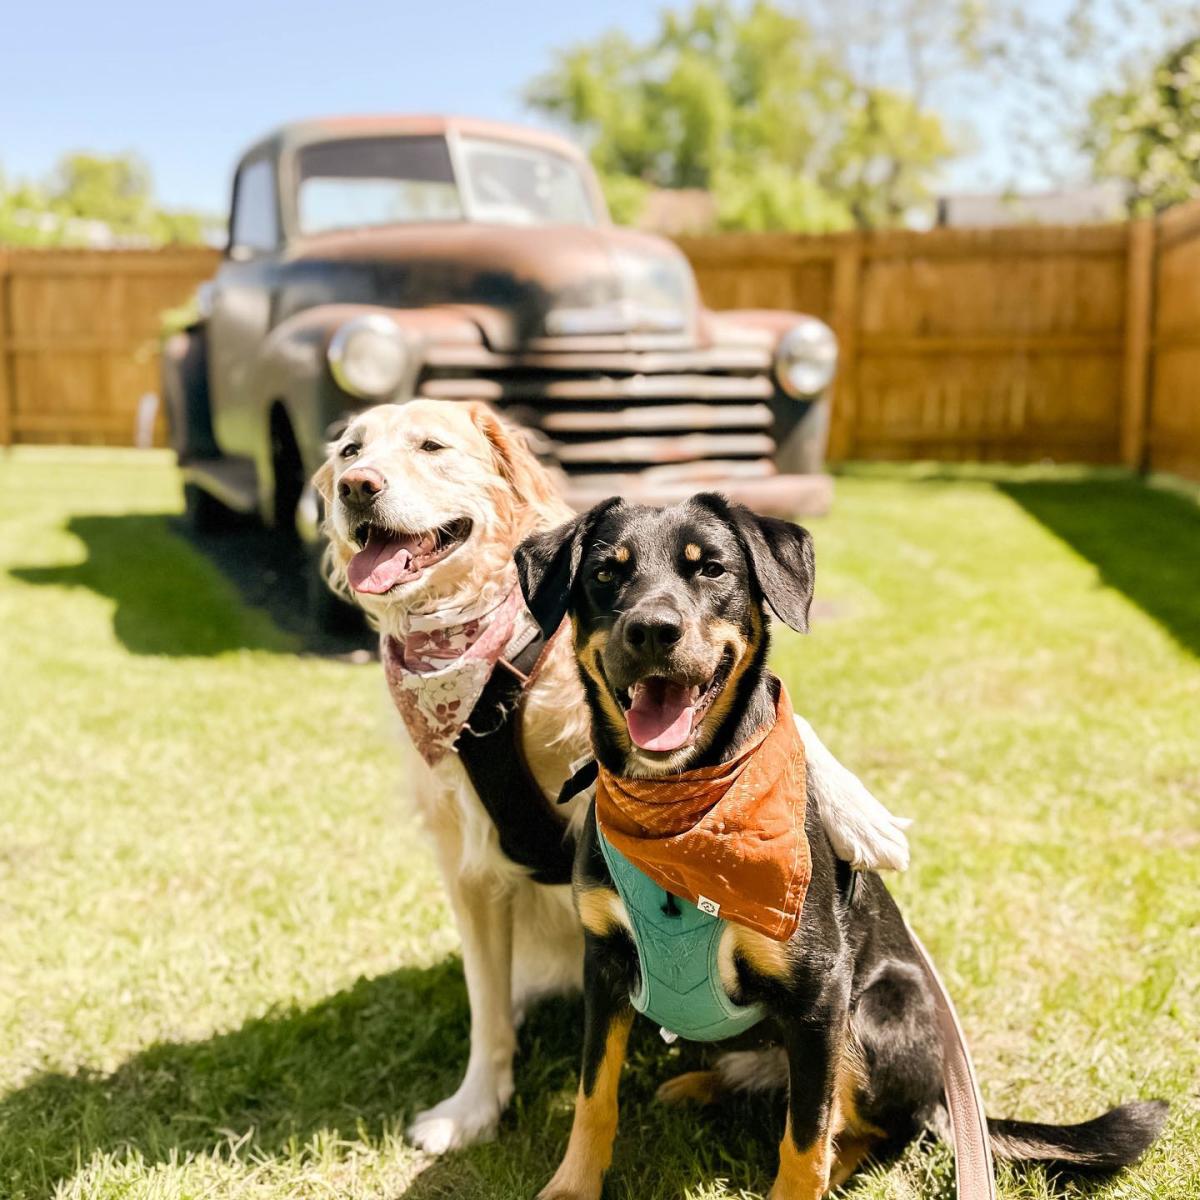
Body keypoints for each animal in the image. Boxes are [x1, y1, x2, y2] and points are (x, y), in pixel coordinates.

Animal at [312, 400, 907, 1152]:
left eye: (431, 446)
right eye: (351, 450)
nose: (355, 486)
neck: (484, 667)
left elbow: (782, 717)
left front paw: (860, 814)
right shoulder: (469, 864)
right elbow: (486, 1005)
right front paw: (473, 1106)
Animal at [513, 489, 1161, 1200]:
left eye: (710, 568)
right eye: (607, 572)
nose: (653, 629)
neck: (683, 807)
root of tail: (943, 1095)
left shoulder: (821, 991)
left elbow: (806, 1139)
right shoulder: (604, 962)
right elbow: (594, 1095)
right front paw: (572, 1186)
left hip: (880, 1010)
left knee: (869, 1130)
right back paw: (699, 1084)